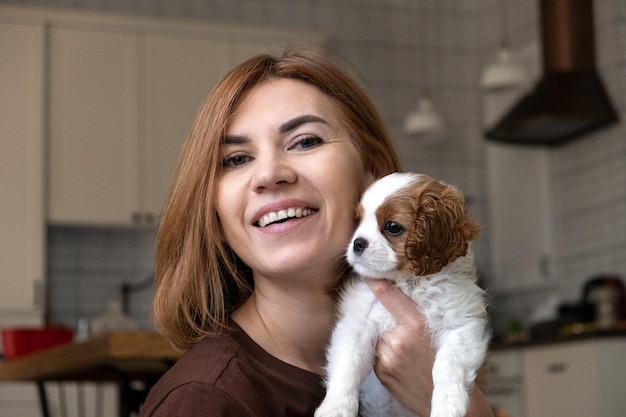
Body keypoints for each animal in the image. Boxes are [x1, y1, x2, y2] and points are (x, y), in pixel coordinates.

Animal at [316, 171, 488, 416]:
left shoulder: (460, 324)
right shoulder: (357, 324)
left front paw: (448, 405)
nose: (358, 243)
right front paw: (335, 408)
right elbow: (347, 364)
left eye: (392, 226)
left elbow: (447, 364)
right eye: (357, 221)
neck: (407, 283)